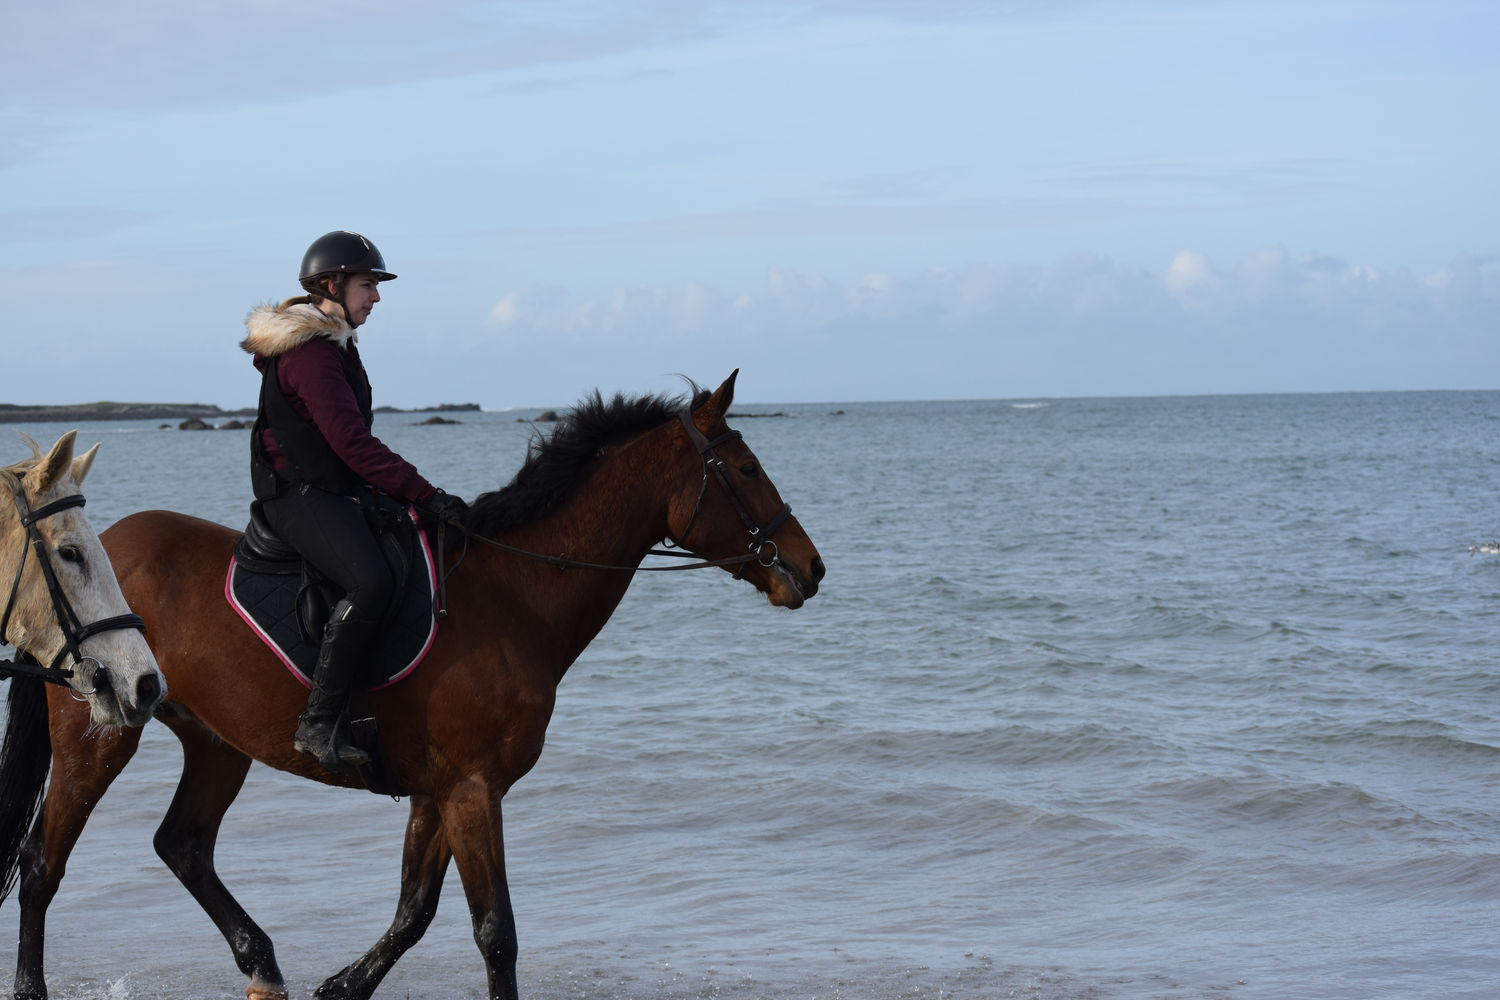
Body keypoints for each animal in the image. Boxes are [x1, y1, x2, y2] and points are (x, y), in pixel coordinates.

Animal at [2, 373, 822, 1000]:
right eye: (746, 469)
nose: (809, 568)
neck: (514, 592)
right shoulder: (472, 788)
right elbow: (495, 932)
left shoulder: (439, 791)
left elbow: (413, 913)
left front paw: (342, 986)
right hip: (98, 735)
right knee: (44, 865)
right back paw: (38, 986)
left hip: (215, 742)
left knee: (183, 845)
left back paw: (262, 963)